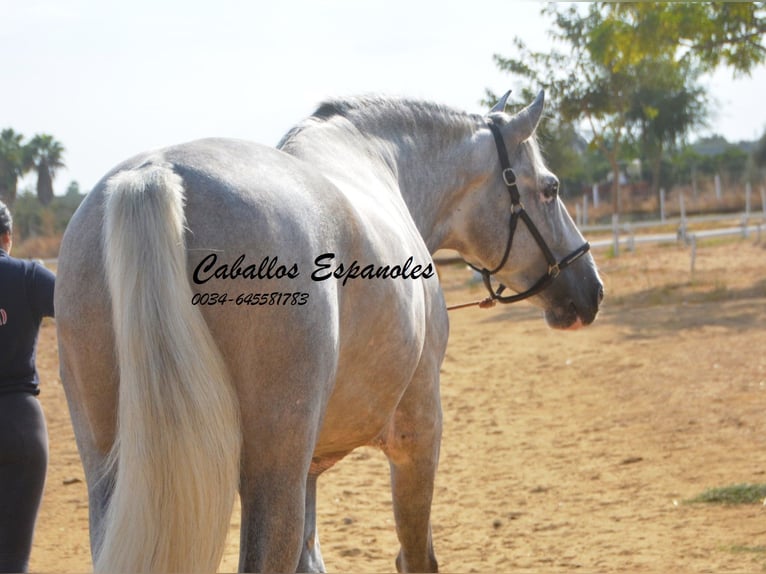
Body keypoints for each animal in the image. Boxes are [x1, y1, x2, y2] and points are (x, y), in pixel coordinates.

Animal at [55, 89, 608, 572]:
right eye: (552, 187)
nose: (592, 289)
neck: (376, 163)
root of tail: (158, 173)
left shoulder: (310, 470)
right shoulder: (419, 432)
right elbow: (416, 556)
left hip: (112, 474)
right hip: (273, 471)